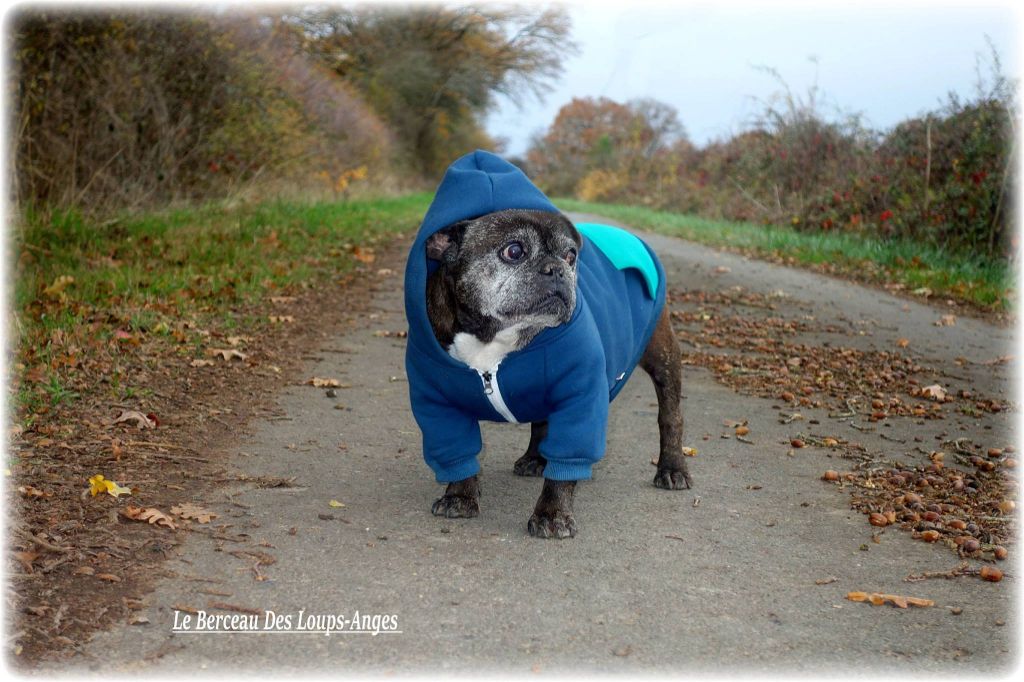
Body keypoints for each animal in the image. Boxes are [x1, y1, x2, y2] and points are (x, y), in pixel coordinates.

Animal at [399, 148, 688, 536]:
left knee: (670, 415)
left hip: (663, 356)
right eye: (514, 251)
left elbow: (567, 457)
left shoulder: (579, 394)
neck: (493, 338)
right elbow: (455, 451)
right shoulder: (437, 404)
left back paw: (672, 469)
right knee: (542, 422)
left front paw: (552, 514)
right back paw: (535, 458)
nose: (557, 269)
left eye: (570, 256)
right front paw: (459, 496)